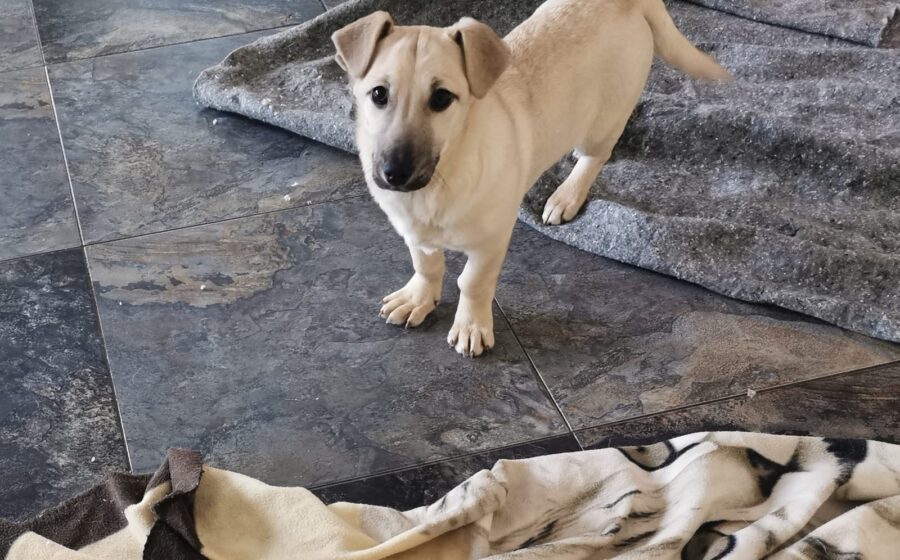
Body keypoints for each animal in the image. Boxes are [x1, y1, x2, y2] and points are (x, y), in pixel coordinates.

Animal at [332, 0, 730, 357]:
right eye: (378, 94)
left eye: (442, 98)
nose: (394, 174)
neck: (442, 178)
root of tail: (628, 2)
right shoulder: (413, 231)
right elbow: (425, 263)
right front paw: (418, 298)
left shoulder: (491, 242)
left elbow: (473, 282)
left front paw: (471, 326)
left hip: (607, 117)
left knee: (596, 156)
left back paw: (566, 195)